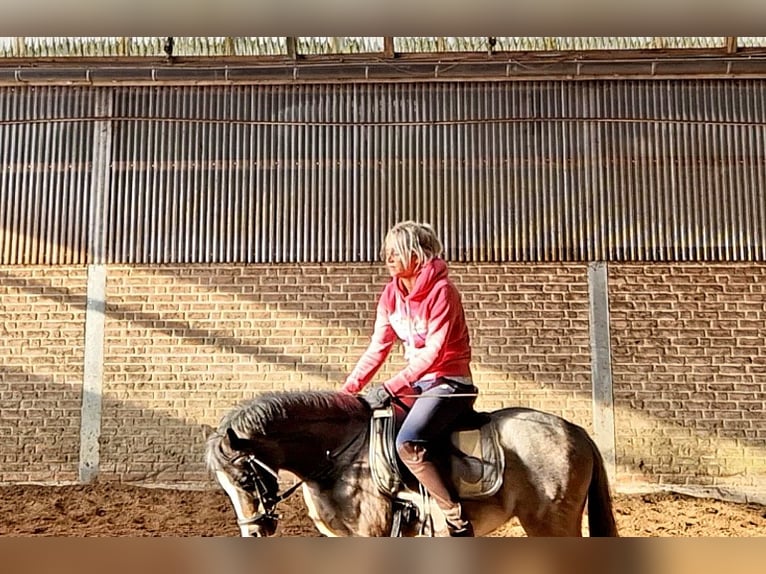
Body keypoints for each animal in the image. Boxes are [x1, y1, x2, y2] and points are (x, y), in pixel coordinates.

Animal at [204, 390, 616, 544]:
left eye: (245, 478)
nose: (253, 531)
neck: (338, 458)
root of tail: (575, 431)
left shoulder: (370, 534)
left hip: (550, 524)